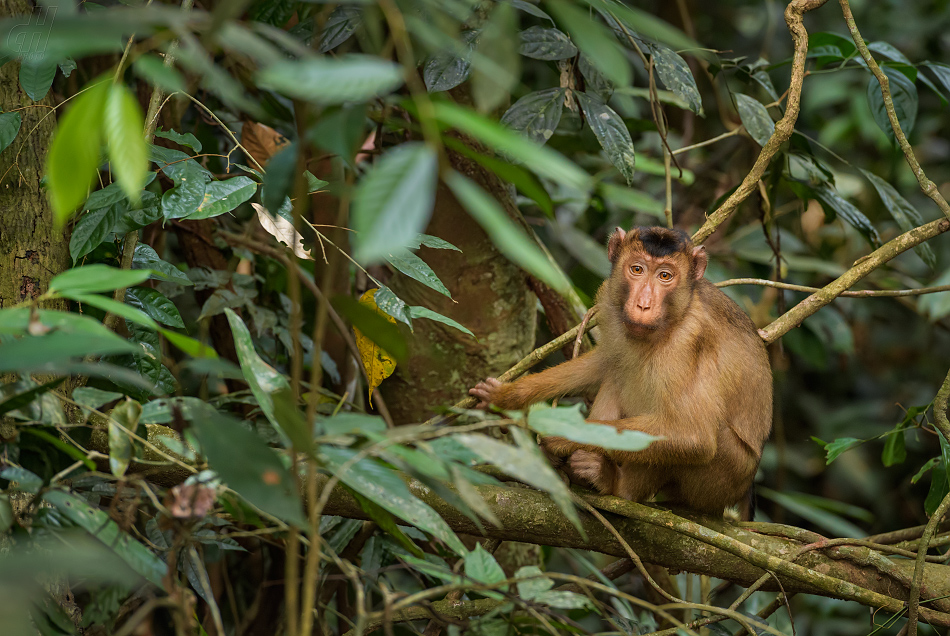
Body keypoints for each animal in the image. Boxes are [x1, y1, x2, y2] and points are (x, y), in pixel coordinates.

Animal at [468, 226, 772, 516]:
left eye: (665, 276)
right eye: (636, 269)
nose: (643, 304)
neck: (675, 316)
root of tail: (746, 487)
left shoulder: (687, 342)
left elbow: (692, 437)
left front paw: (562, 432)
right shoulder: (609, 302)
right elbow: (603, 361)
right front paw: (505, 397)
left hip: (722, 478)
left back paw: (616, 485)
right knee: (618, 373)